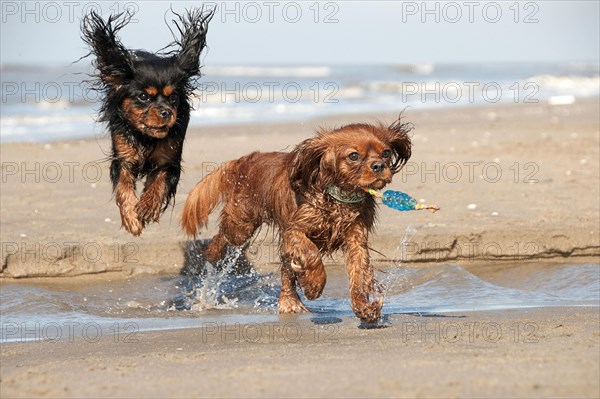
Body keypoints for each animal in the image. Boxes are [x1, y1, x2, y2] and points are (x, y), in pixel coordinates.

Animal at [179, 118, 412, 322]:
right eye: (353, 156)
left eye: (386, 152)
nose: (379, 166)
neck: (338, 197)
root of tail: (246, 160)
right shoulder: (294, 230)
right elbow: (311, 254)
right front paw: (314, 284)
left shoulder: (355, 238)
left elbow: (359, 272)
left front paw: (364, 307)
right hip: (242, 224)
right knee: (224, 238)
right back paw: (211, 254)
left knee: (286, 271)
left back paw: (289, 301)